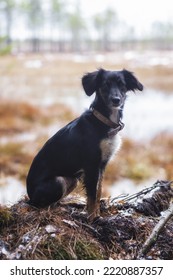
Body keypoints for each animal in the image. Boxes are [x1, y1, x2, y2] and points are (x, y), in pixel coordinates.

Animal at [26, 69, 143, 220]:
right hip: (58, 182)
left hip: (72, 179)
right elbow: (92, 195)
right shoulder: (91, 165)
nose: (116, 100)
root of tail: (29, 196)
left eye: (121, 84)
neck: (103, 122)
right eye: (105, 84)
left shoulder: (102, 164)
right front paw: (92, 218)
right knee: (40, 206)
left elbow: (98, 191)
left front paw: (97, 214)